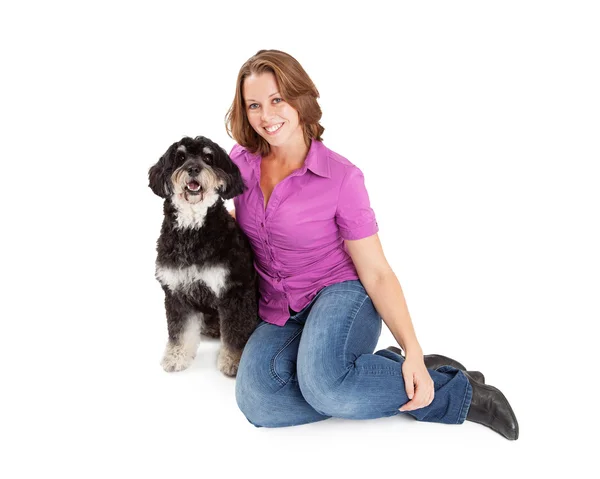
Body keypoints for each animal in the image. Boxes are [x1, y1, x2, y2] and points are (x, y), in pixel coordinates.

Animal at [148, 136, 258, 378]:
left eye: (208, 157)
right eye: (180, 157)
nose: (193, 169)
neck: (192, 230)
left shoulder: (234, 290)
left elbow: (236, 333)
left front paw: (234, 361)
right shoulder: (176, 292)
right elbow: (180, 330)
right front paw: (176, 356)